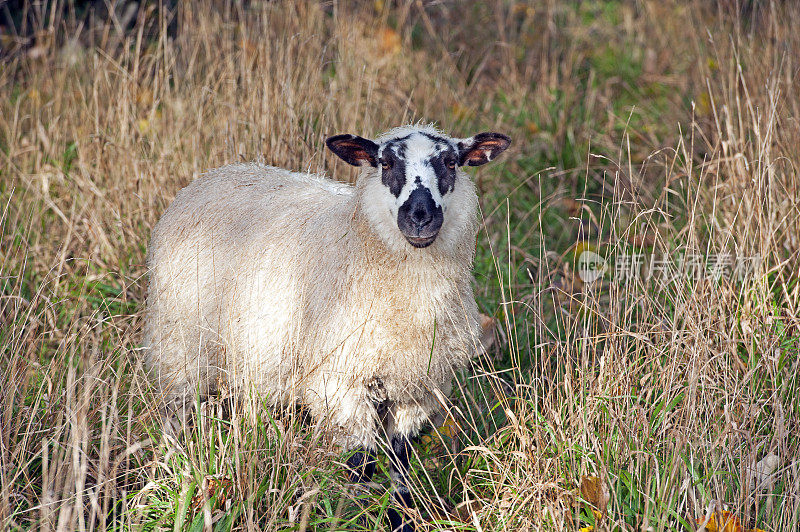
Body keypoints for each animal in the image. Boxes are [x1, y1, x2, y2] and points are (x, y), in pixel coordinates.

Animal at [144, 123, 512, 528]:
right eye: (385, 163)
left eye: (450, 162)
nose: (419, 216)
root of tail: (215, 174)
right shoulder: (341, 386)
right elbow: (361, 464)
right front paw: (358, 515)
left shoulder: (414, 388)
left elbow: (399, 461)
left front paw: (401, 517)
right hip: (181, 347)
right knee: (176, 417)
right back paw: (174, 472)